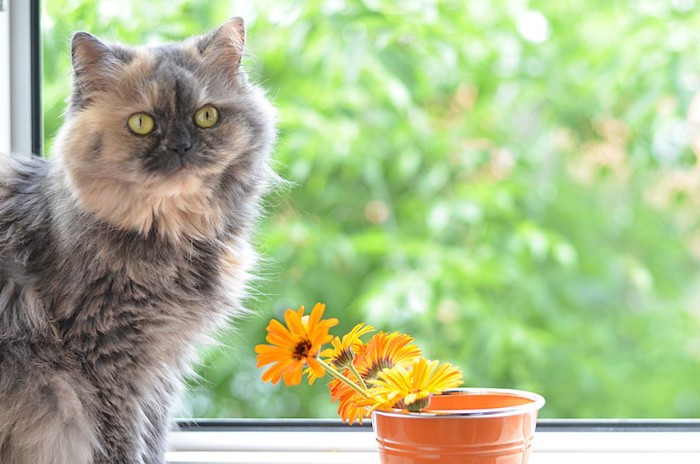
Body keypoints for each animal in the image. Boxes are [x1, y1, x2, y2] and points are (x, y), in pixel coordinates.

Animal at [0, 18, 278, 464]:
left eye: (206, 116)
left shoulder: (161, 364)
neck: (176, 236)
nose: (181, 146)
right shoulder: (107, 363)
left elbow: (154, 437)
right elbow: (125, 443)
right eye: (142, 124)